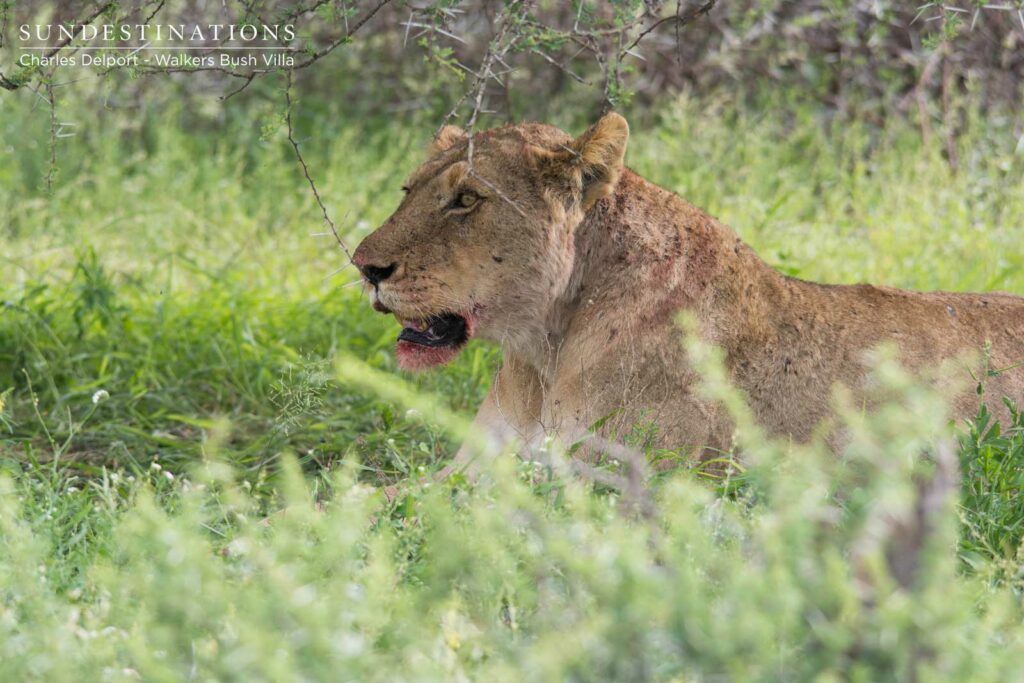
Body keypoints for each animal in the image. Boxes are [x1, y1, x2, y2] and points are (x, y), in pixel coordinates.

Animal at [352, 113, 1024, 476]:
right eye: (408, 190)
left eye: (466, 199)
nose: (363, 267)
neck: (544, 347)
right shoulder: (472, 463)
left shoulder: (614, 479)